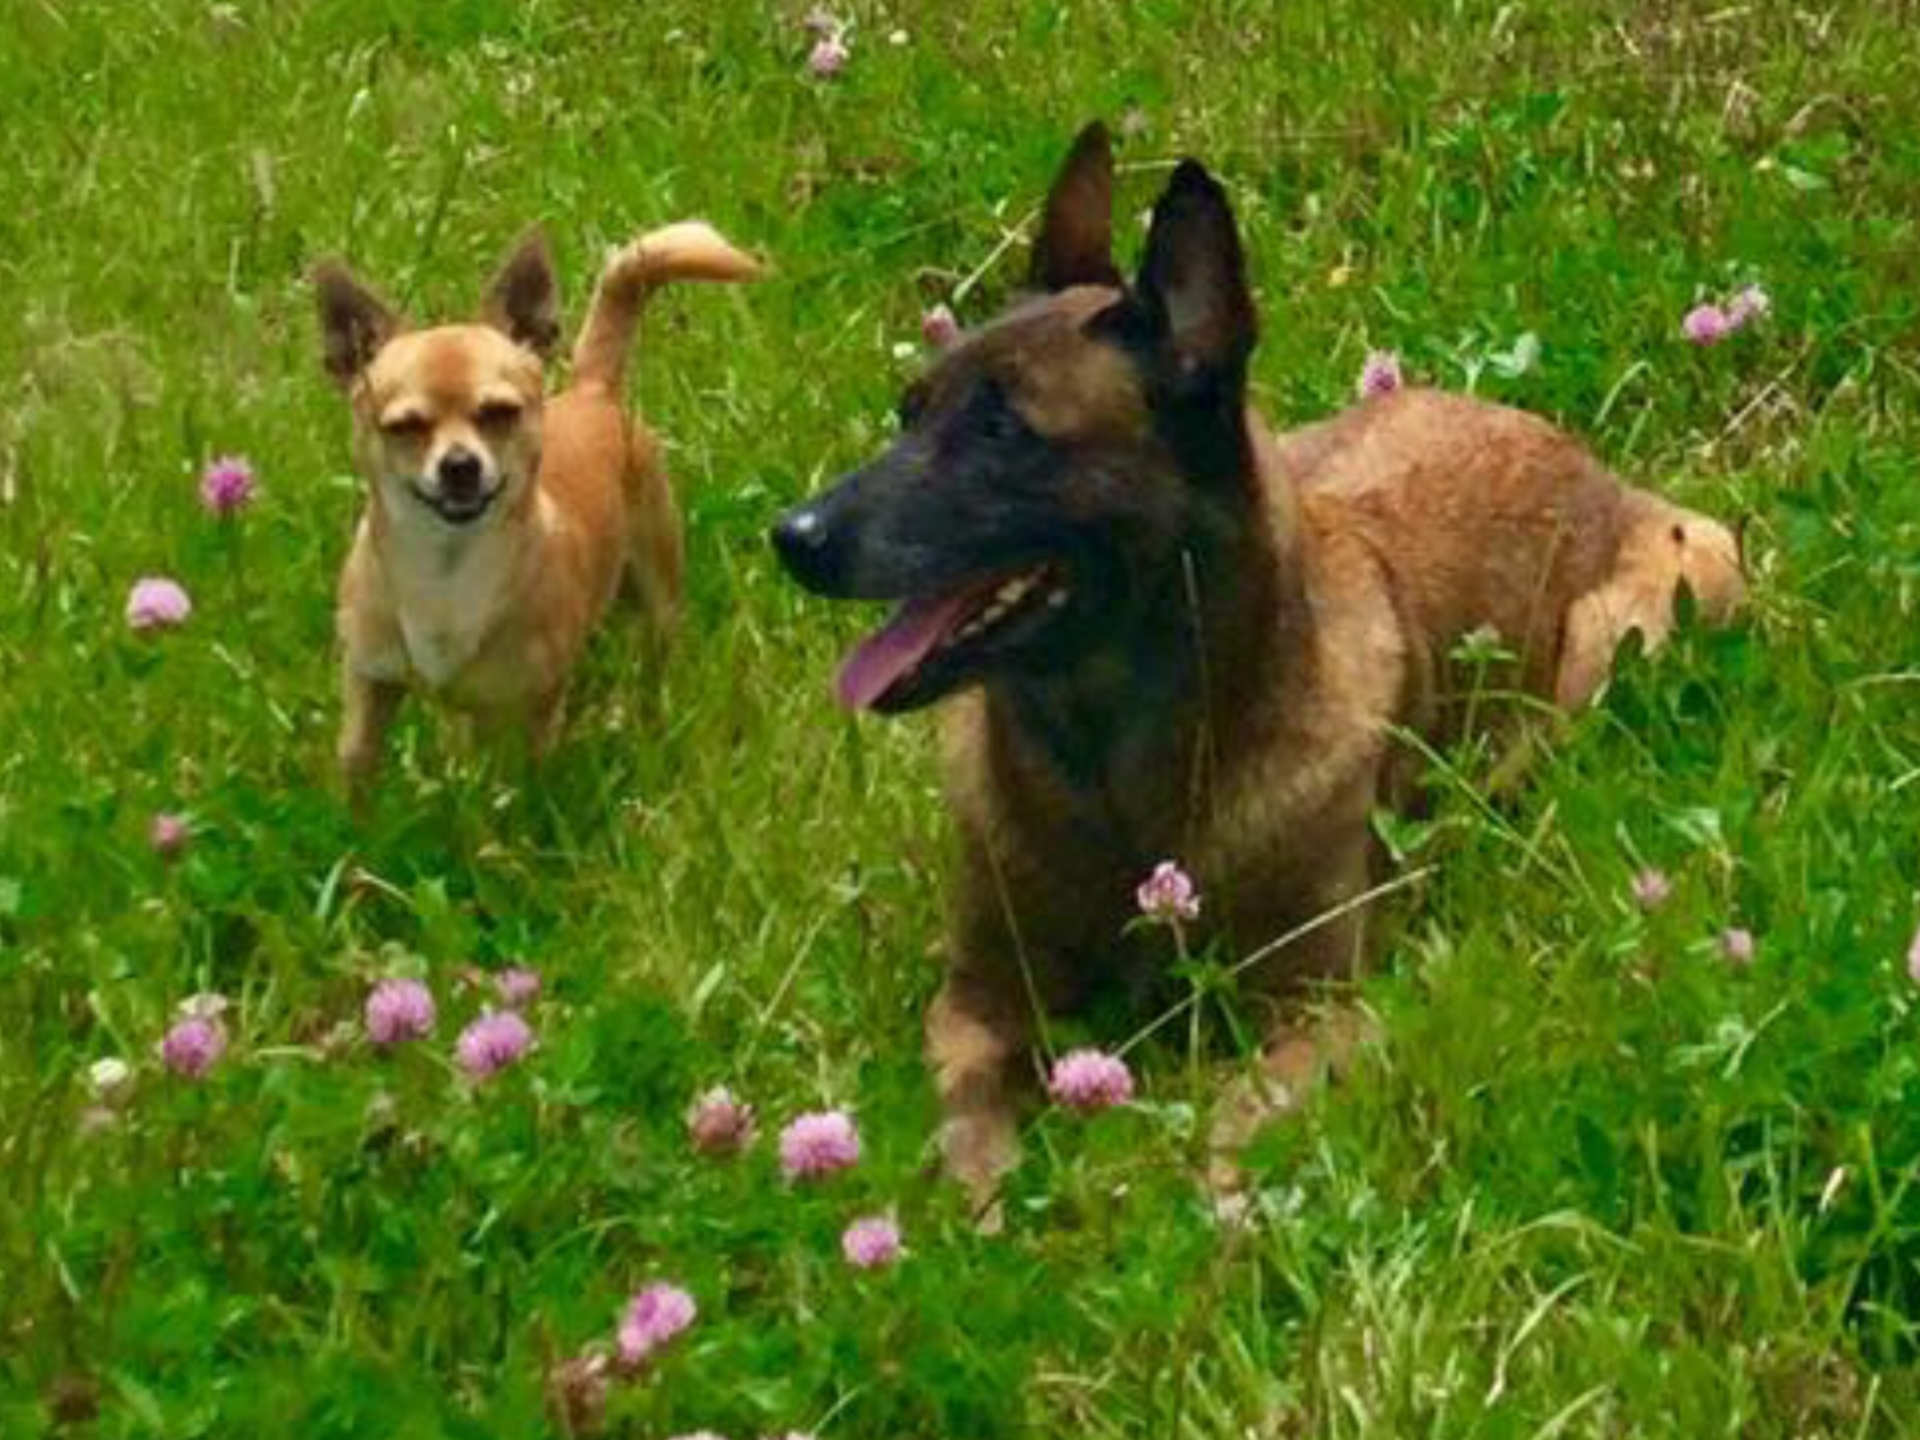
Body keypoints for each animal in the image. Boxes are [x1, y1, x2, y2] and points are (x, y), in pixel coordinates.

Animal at [313, 222, 759, 801]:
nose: (460, 465)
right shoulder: (371, 679)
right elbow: (356, 758)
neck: (445, 567)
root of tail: (593, 388)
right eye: (404, 426)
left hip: (657, 601)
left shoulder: (530, 709)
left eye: (500, 412)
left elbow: (519, 790)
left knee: (651, 666)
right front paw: (353, 823)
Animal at [770, 124, 1745, 1211]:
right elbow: (969, 1130)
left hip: (1651, 618)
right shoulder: (977, 1002)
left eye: (1005, 431)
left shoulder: (1322, 1010)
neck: (1113, 778)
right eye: (911, 410)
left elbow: (1229, 1124)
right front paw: (983, 1217)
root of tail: (1562, 444)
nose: (792, 538)